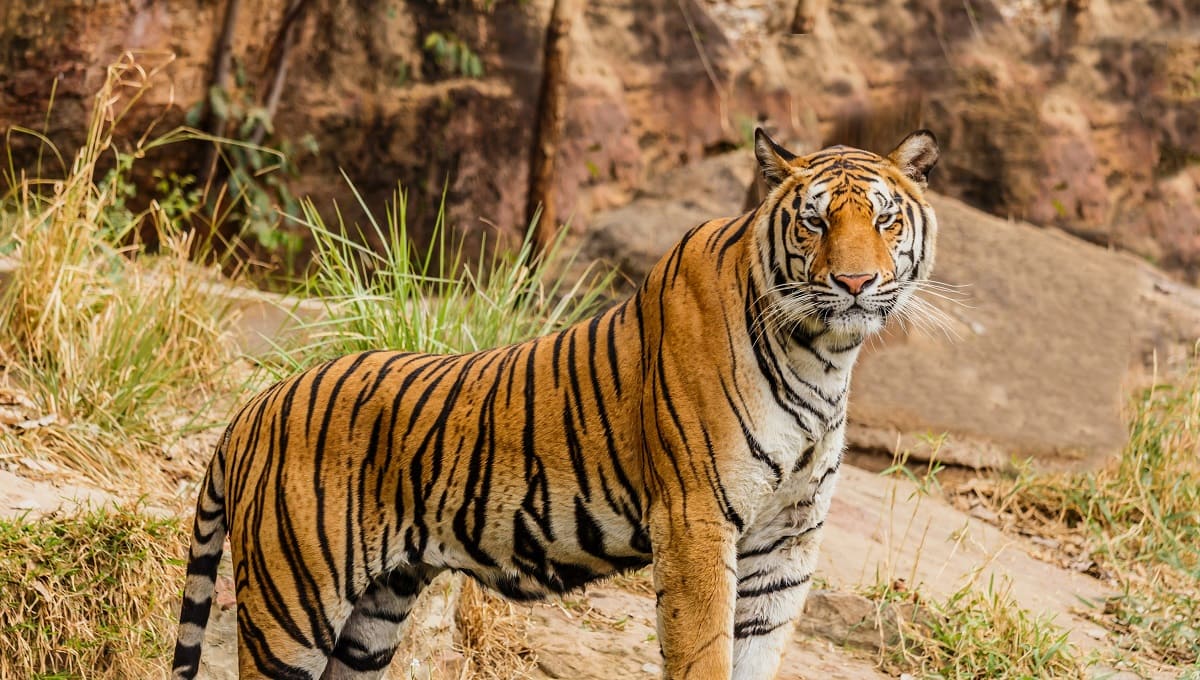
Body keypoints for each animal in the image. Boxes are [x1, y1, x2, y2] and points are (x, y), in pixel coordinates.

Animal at [171, 127, 939, 679]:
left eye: (885, 221)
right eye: (814, 222)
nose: (855, 283)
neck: (824, 356)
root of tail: (253, 409)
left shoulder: (787, 540)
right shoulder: (696, 521)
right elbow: (704, 655)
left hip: (373, 618)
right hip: (292, 607)